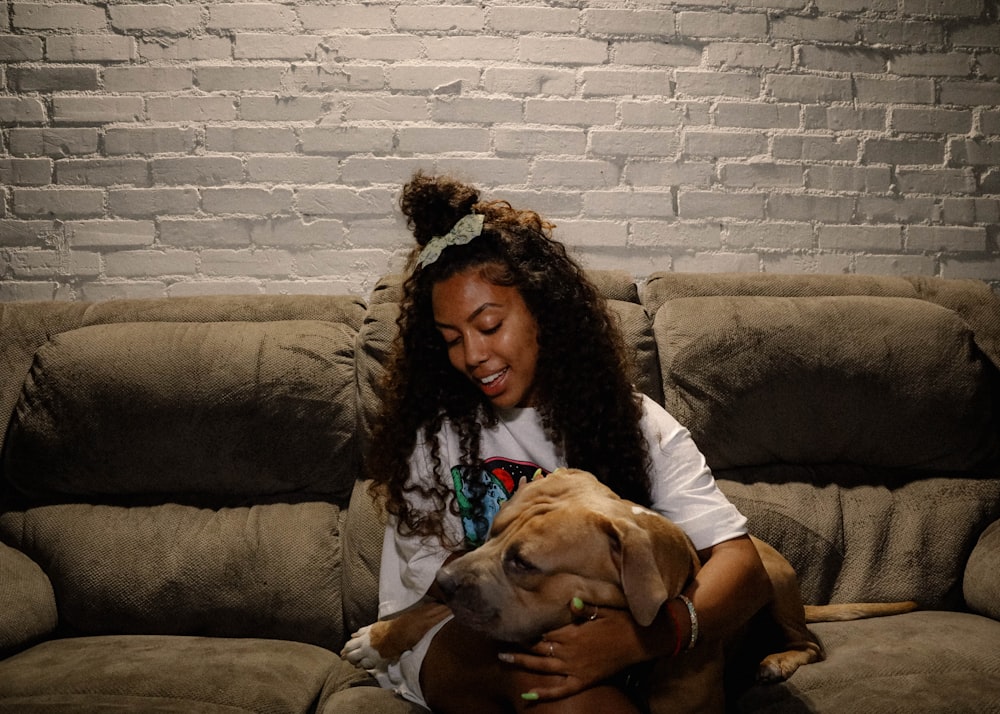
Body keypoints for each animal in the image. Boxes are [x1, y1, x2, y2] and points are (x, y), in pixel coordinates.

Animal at [342, 468, 916, 712]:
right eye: (491, 532)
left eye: (523, 562)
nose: (442, 581)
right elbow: (426, 612)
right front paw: (379, 637)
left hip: (770, 578)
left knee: (811, 644)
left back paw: (777, 659)